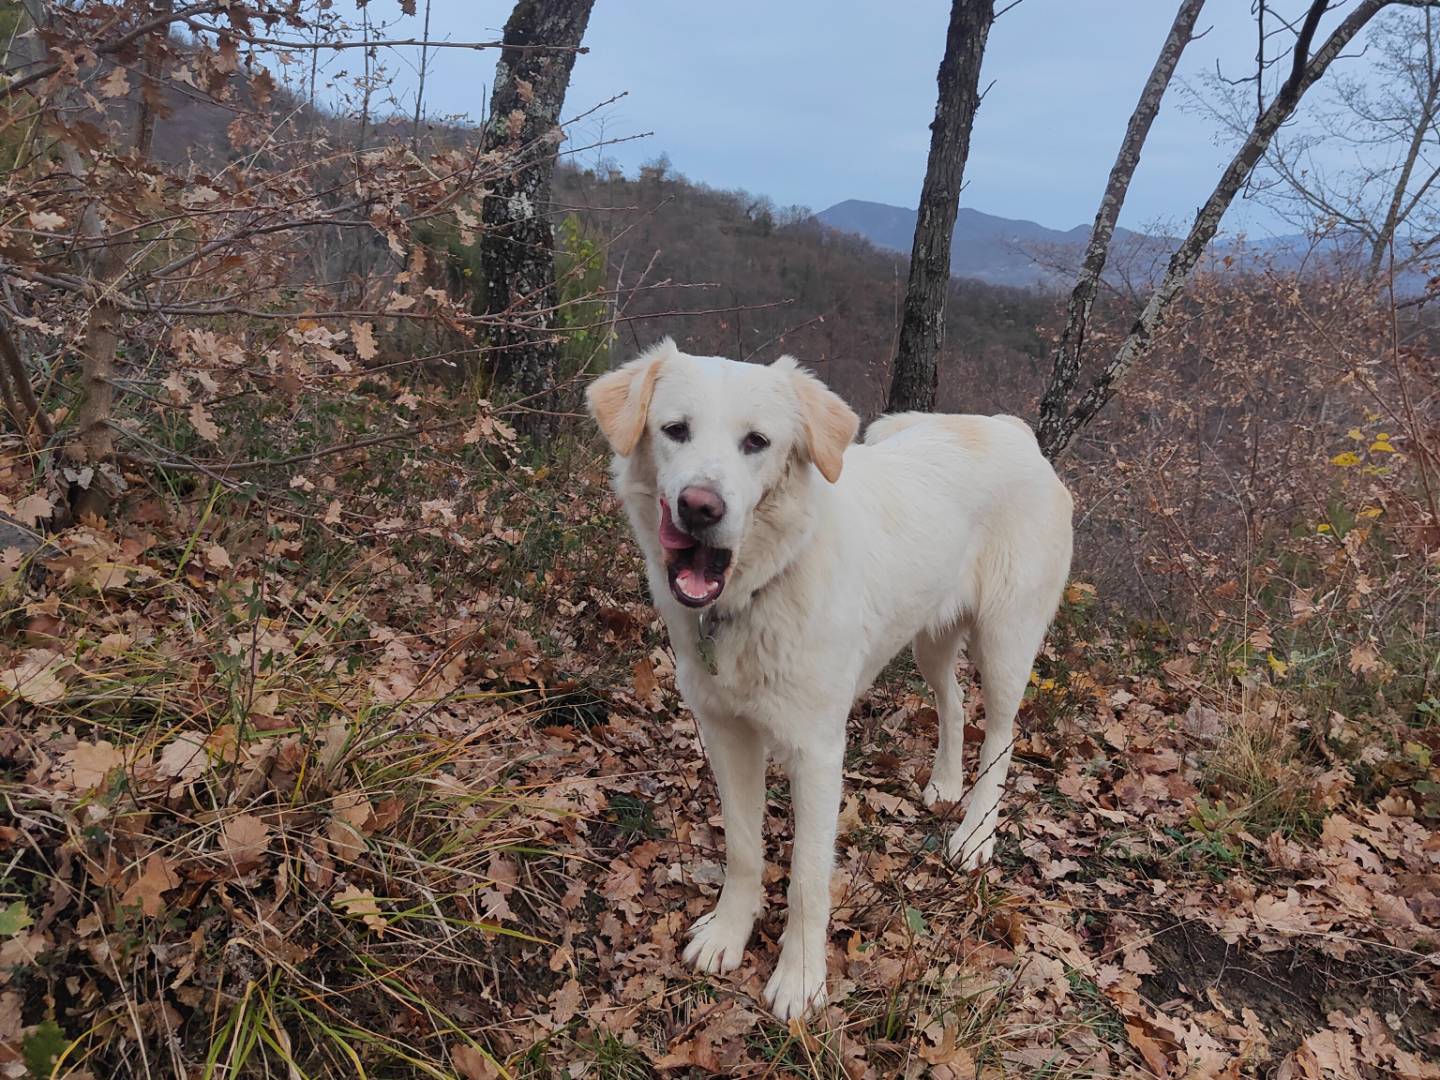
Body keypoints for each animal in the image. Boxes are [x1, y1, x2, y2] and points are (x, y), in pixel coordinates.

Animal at [584, 339, 1071, 1025]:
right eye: (675, 430)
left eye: (757, 441)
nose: (700, 508)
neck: (761, 588)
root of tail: (1012, 431)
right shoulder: (727, 734)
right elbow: (743, 849)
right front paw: (728, 934)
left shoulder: (817, 752)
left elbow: (807, 879)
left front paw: (800, 981)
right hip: (928, 637)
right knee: (952, 704)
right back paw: (944, 783)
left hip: (1005, 641)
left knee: (1001, 735)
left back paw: (975, 835)